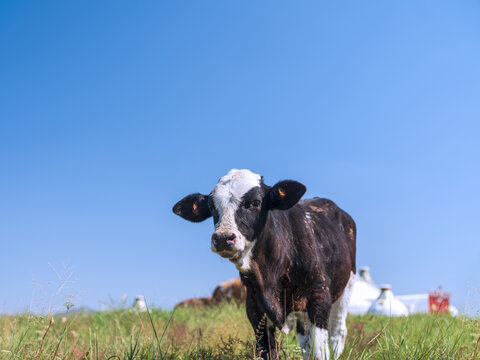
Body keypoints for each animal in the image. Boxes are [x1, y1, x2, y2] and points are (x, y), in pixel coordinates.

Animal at [172, 169, 356, 360]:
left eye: (255, 202)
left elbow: (319, 352)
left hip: (345, 288)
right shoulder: (255, 307)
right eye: (212, 207)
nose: (223, 238)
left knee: (337, 332)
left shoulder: (318, 298)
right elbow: (268, 351)